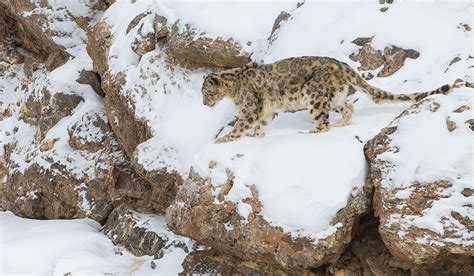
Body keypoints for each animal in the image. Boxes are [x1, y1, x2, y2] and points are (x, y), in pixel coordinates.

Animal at [202, 55, 462, 143]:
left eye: (206, 92)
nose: (204, 104)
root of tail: (343, 66)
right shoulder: (264, 110)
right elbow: (261, 125)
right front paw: (257, 137)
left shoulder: (250, 109)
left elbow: (240, 125)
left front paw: (223, 140)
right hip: (334, 96)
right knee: (347, 107)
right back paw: (341, 124)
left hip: (313, 95)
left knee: (323, 122)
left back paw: (311, 131)